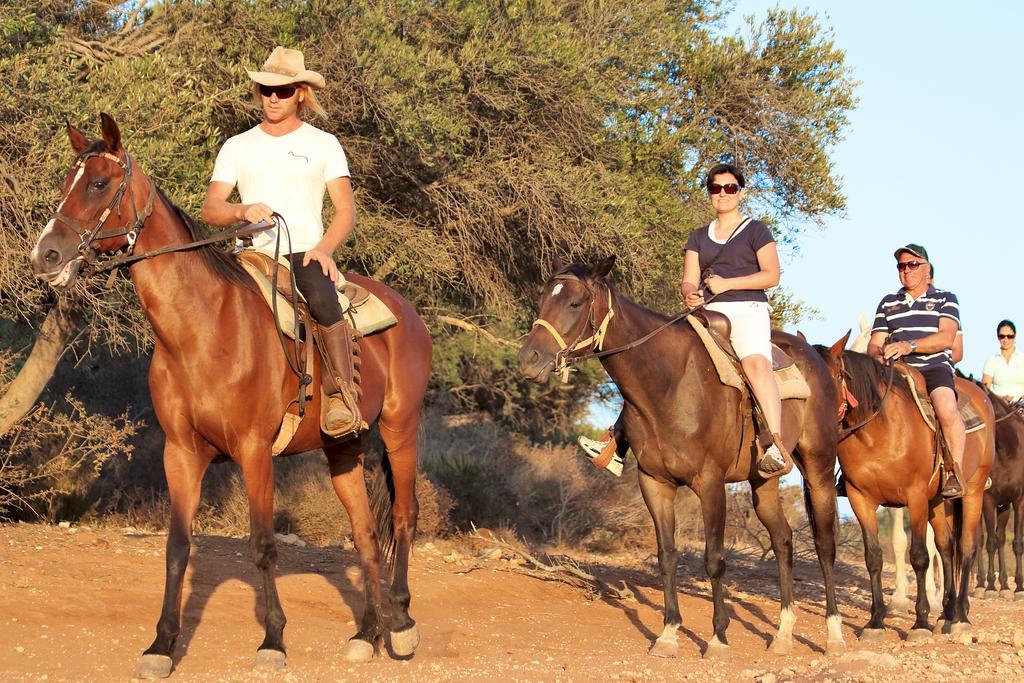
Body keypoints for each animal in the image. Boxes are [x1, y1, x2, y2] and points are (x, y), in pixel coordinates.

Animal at [25, 114, 430, 675]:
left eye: (100, 183)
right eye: (68, 181)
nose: (45, 256)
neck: (204, 330)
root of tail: (408, 313)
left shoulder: (255, 450)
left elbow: (262, 545)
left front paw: (273, 641)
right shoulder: (181, 453)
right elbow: (177, 546)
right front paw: (161, 646)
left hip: (400, 429)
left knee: (404, 519)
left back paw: (403, 627)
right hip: (344, 448)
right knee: (367, 535)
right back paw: (366, 634)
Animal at [520, 254, 847, 655]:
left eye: (575, 303)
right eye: (541, 299)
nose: (528, 359)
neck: (669, 382)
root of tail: (816, 361)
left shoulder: (710, 483)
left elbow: (714, 559)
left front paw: (718, 638)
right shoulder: (654, 482)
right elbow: (667, 555)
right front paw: (668, 633)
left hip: (818, 465)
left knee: (824, 544)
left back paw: (834, 635)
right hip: (763, 480)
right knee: (782, 540)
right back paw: (783, 634)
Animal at [815, 335, 991, 643]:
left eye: (832, 378)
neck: (876, 433)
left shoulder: (915, 497)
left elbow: (919, 557)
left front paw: (920, 621)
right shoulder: (860, 499)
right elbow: (873, 557)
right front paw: (875, 621)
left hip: (973, 493)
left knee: (967, 548)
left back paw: (961, 617)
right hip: (938, 502)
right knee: (947, 547)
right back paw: (946, 615)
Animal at [966, 385, 1024, 602]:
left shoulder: (1018, 500)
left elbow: (1016, 542)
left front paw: (1018, 588)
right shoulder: (988, 501)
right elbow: (989, 542)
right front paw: (990, 587)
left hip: (1004, 506)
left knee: (999, 538)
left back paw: (1005, 586)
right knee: (980, 539)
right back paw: (981, 584)